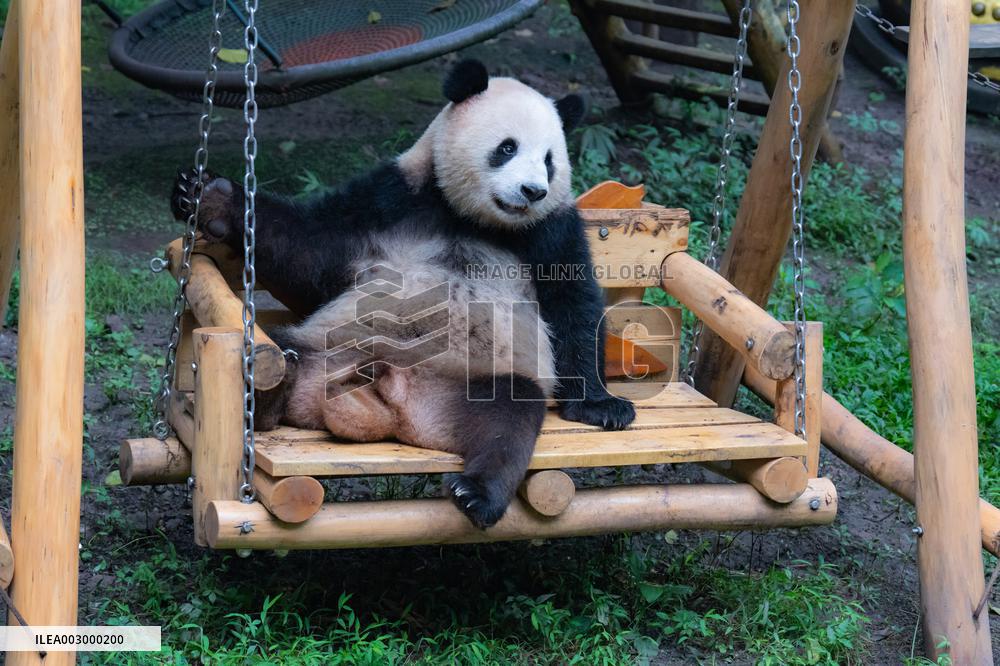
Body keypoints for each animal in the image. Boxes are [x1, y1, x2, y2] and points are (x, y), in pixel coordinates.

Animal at [171, 60, 636, 528]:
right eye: (507, 147)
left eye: (549, 160)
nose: (533, 191)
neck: (471, 219)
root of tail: (395, 405)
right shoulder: (392, 196)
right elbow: (308, 252)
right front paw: (209, 197)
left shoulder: (551, 230)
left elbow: (572, 304)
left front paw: (601, 406)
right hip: (329, 343)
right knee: (281, 349)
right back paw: (272, 391)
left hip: (480, 380)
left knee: (509, 422)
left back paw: (476, 493)